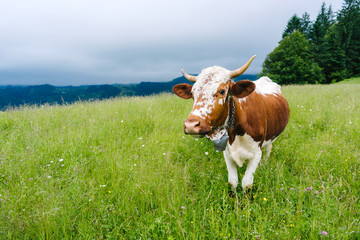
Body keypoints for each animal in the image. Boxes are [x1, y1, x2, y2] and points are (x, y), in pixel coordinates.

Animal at [172, 55, 290, 192]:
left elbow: (247, 183)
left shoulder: (256, 153)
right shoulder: (227, 153)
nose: (191, 125)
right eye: (192, 93)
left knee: (268, 149)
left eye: (222, 91)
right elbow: (232, 182)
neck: (236, 133)